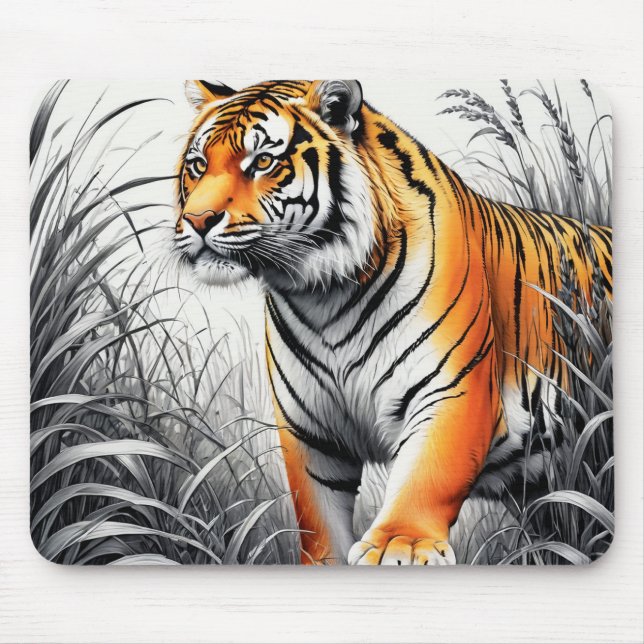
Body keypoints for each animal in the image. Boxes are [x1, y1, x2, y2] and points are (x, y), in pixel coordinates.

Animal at [174, 79, 612, 565]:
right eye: (198, 165)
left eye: (264, 162)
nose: (196, 220)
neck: (324, 297)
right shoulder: (310, 429)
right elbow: (316, 511)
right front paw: (326, 562)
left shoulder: (452, 390)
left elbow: (428, 475)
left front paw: (399, 545)